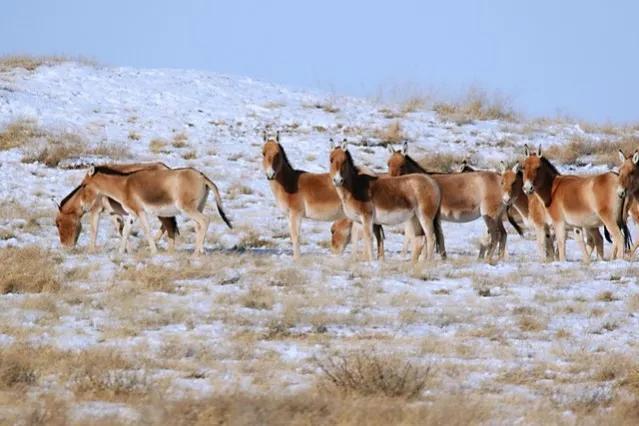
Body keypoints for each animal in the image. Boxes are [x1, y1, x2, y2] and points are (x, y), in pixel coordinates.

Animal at [79, 166, 231, 253]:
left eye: (84, 185)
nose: (83, 205)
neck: (124, 186)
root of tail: (202, 177)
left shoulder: (139, 212)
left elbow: (146, 230)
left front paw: (153, 251)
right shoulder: (133, 214)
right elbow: (126, 230)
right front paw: (121, 252)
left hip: (188, 208)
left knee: (205, 221)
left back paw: (196, 253)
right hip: (199, 207)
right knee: (199, 226)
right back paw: (199, 250)